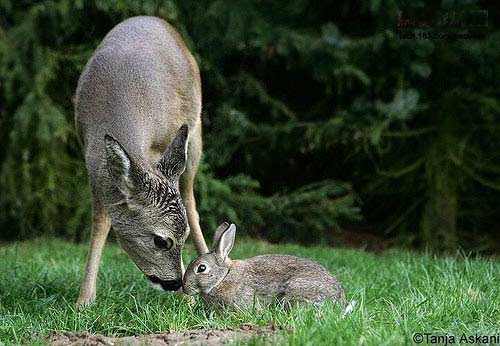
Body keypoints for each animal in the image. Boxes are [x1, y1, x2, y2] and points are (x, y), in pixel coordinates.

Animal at [73, 16, 208, 306]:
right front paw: (85, 299)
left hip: (195, 136)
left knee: (191, 201)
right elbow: (101, 221)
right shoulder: (92, 161)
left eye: (183, 236)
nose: (176, 283)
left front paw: (189, 299)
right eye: (161, 241)